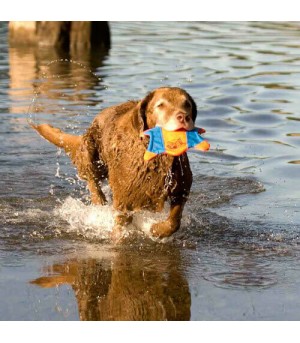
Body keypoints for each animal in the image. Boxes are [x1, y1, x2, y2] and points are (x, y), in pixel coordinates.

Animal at [32, 87, 197, 241]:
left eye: (187, 104)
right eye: (160, 105)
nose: (184, 116)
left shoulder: (181, 187)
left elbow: (174, 222)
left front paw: (155, 229)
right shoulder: (125, 194)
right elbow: (121, 223)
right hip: (91, 150)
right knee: (91, 178)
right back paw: (99, 200)